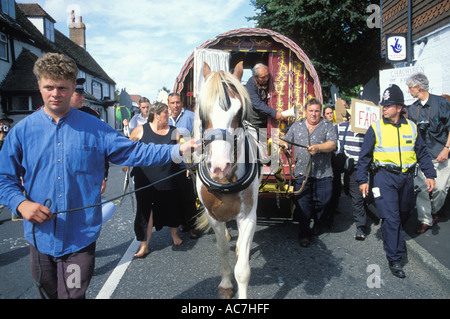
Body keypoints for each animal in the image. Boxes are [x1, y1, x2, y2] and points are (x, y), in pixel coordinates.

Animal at [194, 62, 264, 300]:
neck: (226, 181)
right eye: (201, 111)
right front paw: (225, 284)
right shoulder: (213, 215)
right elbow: (222, 248)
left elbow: (242, 269)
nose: (219, 166)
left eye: (239, 110)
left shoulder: (248, 215)